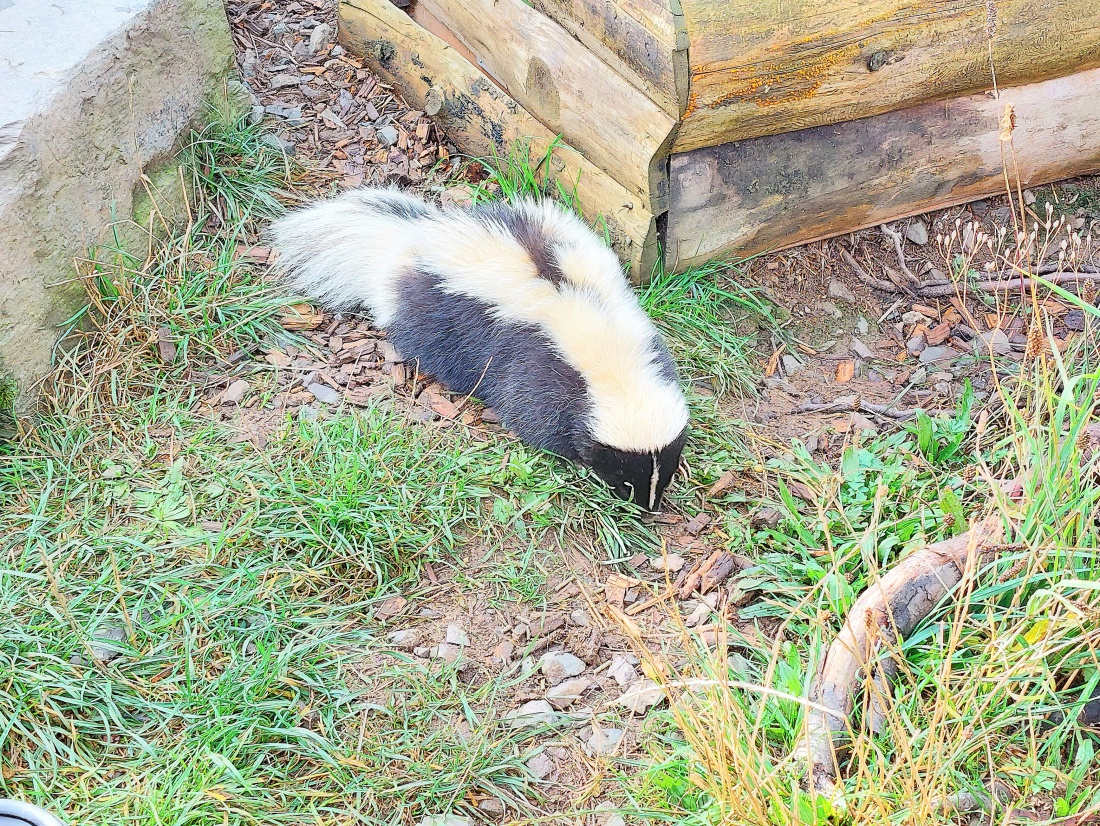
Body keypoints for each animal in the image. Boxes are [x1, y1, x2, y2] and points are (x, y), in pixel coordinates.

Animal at [268, 186, 686, 510]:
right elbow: (533, 414)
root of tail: (409, 238)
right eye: (621, 473)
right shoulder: (536, 362)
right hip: (439, 317)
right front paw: (574, 457)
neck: (608, 350)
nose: (646, 506)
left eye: (664, 468)